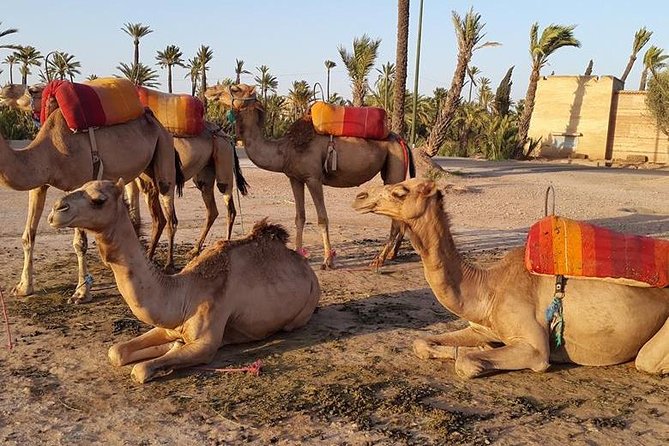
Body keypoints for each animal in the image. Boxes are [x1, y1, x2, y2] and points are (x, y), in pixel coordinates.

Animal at [0, 108, 183, 304]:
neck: (49, 152)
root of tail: (158, 124)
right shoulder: (39, 185)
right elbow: (28, 236)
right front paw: (23, 287)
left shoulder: (79, 183)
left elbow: (80, 243)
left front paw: (81, 293)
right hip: (145, 170)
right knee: (158, 215)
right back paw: (147, 258)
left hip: (164, 150)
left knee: (170, 212)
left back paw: (168, 265)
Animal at [48, 179, 320, 383]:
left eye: (98, 200)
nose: (56, 209)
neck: (184, 292)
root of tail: (306, 266)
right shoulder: (170, 326)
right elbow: (116, 351)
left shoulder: (206, 342)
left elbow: (140, 369)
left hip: (303, 311)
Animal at [125, 126, 249, 258]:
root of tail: (228, 138)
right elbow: (134, 217)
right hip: (205, 174)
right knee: (212, 209)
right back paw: (195, 250)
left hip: (223, 156)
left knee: (229, 206)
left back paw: (225, 245)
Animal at [205, 84, 414, 270]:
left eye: (235, 88)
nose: (209, 90)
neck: (285, 150)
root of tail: (401, 139)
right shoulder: (295, 178)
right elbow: (300, 216)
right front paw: (299, 254)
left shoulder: (313, 178)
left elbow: (322, 218)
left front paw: (328, 261)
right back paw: (392, 254)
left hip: (394, 166)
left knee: (396, 217)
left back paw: (379, 260)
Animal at [353, 179, 669, 377]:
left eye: (400, 191)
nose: (359, 197)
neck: (489, 289)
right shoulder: (482, 326)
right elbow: (421, 343)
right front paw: (480, 347)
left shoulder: (535, 348)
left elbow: (466, 362)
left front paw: (478, 353)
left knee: (646, 362)